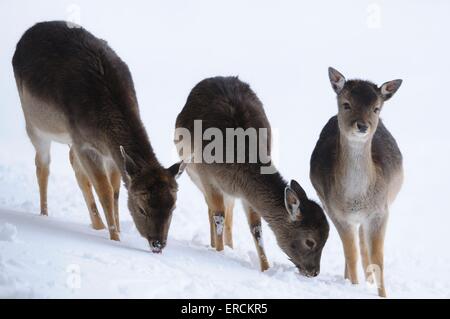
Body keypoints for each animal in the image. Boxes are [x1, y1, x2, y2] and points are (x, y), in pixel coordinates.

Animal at [12, 20, 185, 252]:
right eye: (141, 208)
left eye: (172, 207)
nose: (158, 244)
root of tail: (28, 32)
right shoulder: (85, 143)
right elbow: (104, 190)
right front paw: (115, 238)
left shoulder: (110, 153)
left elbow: (115, 191)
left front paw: (116, 230)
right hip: (34, 124)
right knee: (43, 165)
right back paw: (44, 214)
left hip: (69, 139)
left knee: (75, 166)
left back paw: (97, 225)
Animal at [174, 77, 328, 276]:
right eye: (310, 241)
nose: (314, 272)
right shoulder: (207, 177)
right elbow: (218, 216)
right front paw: (219, 253)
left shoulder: (245, 194)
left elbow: (256, 228)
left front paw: (266, 268)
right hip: (193, 174)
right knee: (213, 210)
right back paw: (215, 245)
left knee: (229, 212)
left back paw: (230, 246)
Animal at [310, 67, 404, 298]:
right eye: (346, 104)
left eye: (376, 108)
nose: (362, 126)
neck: (356, 199)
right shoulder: (337, 213)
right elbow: (350, 254)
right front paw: (352, 286)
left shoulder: (381, 211)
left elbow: (378, 258)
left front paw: (383, 294)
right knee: (355, 247)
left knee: (363, 243)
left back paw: (368, 279)